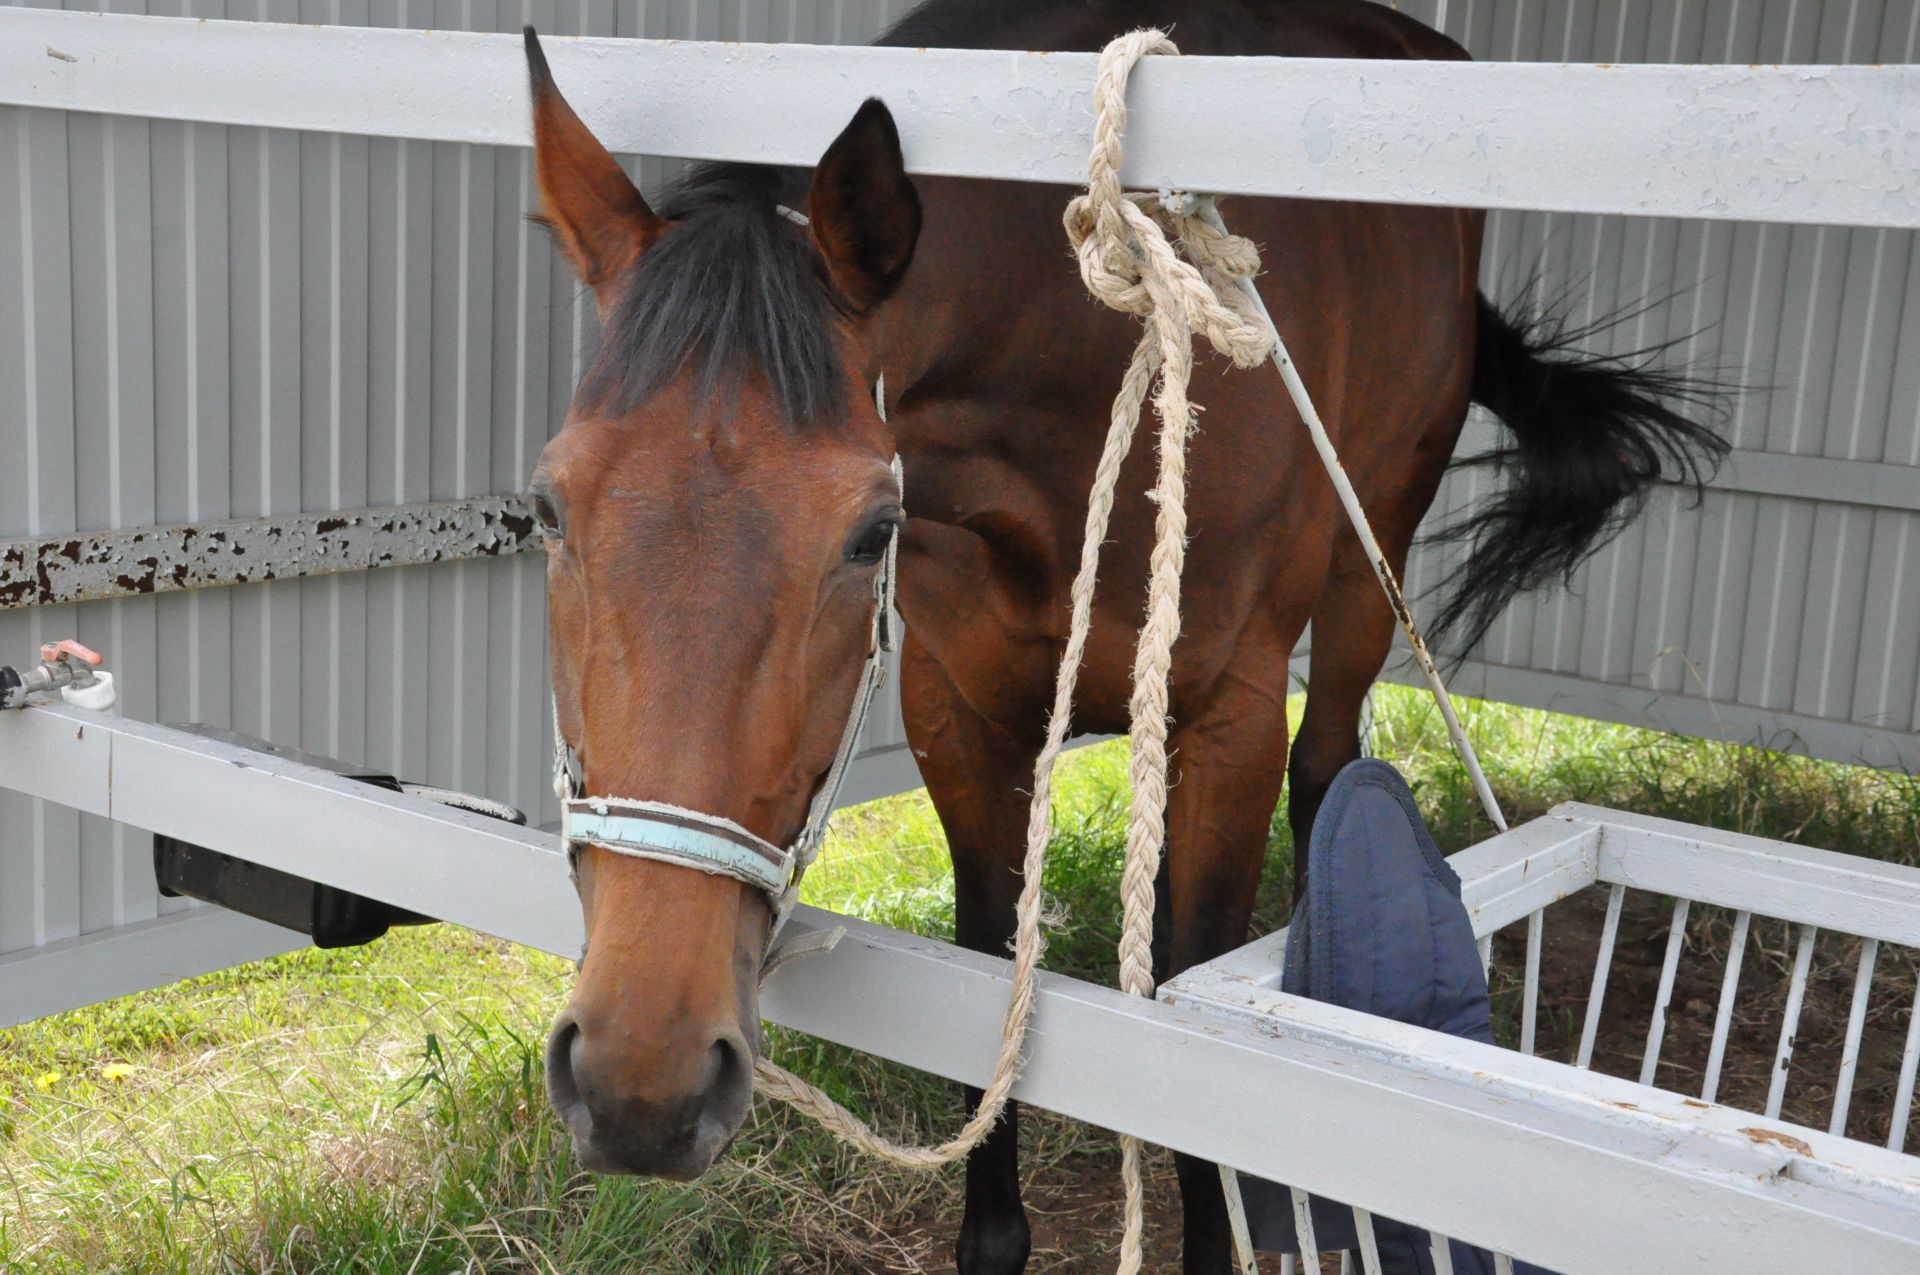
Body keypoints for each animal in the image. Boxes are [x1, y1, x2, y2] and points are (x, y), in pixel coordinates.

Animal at [526, 4, 1728, 1267]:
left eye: (869, 532)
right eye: (550, 508)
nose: (639, 1078)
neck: (1070, 380)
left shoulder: (1229, 720)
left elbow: (1191, 1032)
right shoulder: (961, 716)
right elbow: (986, 996)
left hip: (1374, 552)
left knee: (1329, 768)